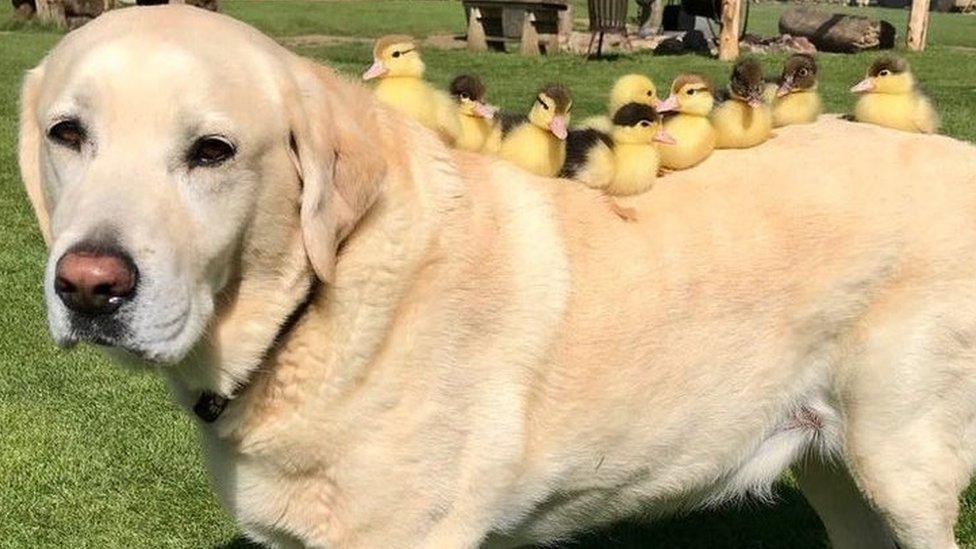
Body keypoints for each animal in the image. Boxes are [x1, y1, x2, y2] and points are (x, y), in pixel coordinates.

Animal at [17, 5, 976, 548]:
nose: (90, 285)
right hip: (841, 473)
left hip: (903, 463)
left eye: (212, 151)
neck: (319, 308)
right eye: (67, 134)